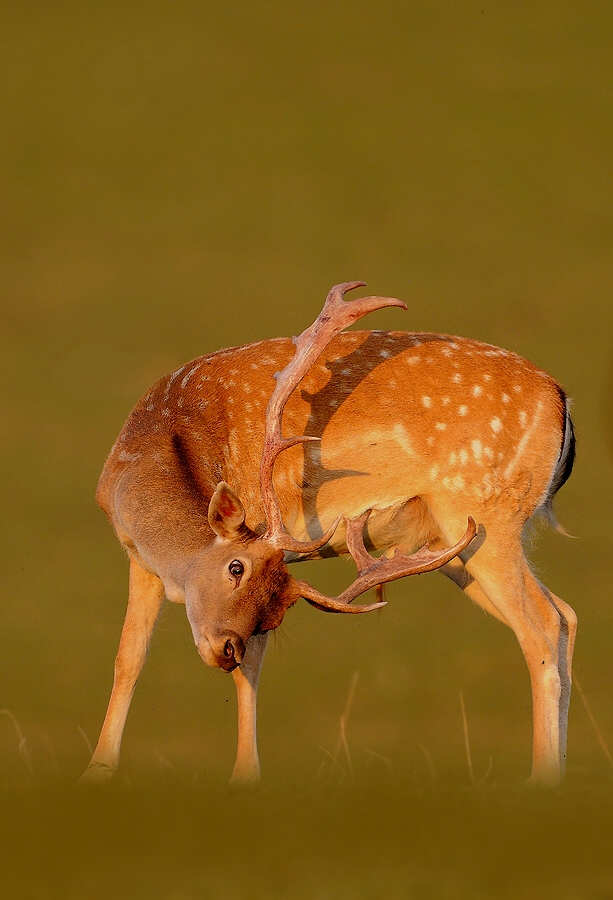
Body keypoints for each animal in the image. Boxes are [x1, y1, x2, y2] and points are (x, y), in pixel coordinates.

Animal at [79, 282, 576, 788]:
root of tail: (561, 401)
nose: (225, 649)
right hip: (452, 545)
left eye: (239, 569)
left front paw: (244, 777)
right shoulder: (140, 561)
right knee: (565, 615)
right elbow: (128, 659)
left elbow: (248, 674)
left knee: (541, 625)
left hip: (486, 514)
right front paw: (97, 770)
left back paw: (541, 779)